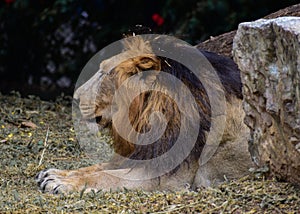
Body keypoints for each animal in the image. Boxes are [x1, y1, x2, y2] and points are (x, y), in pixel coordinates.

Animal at [36, 35, 254, 194]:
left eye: (104, 73)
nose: (75, 98)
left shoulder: (168, 178)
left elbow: (106, 176)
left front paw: (61, 182)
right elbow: (96, 167)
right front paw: (55, 173)